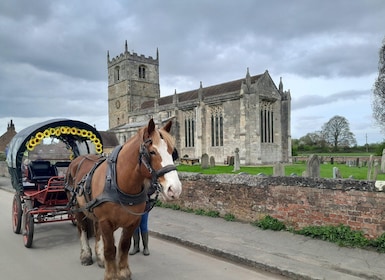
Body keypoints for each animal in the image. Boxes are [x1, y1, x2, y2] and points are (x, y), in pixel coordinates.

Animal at [65, 118, 182, 280]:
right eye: (152, 152)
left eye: (172, 152)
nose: (175, 189)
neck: (119, 181)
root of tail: (78, 159)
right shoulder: (106, 221)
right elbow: (110, 249)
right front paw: (111, 275)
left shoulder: (132, 221)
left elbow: (124, 246)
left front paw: (123, 272)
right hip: (78, 208)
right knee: (81, 229)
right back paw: (86, 255)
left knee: (96, 229)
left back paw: (99, 258)